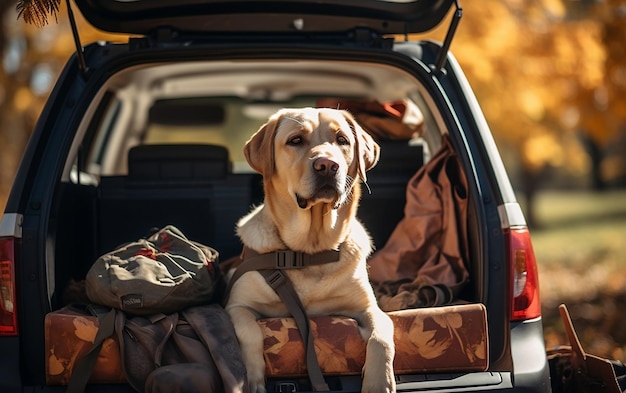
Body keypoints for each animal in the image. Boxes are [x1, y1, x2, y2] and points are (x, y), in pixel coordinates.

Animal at [225, 106, 394, 392]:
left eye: (342, 140)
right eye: (295, 140)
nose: (327, 165)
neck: (308, 253)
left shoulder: (368, 308)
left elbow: (381, 337)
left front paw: (379, 382)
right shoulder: (237, 305)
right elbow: (251, 330)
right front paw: (253, 379)